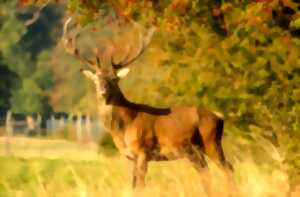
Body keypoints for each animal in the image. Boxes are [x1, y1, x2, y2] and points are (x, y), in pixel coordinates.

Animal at [62, 17, 236, 194]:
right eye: (96, 78)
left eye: (114, 79)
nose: (103, 90)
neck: (124, 127)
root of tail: (219, 116)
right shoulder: (128, 156)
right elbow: (132, 185)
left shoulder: (142, 150)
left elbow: (140, 185)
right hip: (193, 151)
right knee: (206, 173)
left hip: (211, 142)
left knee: (228, 168)